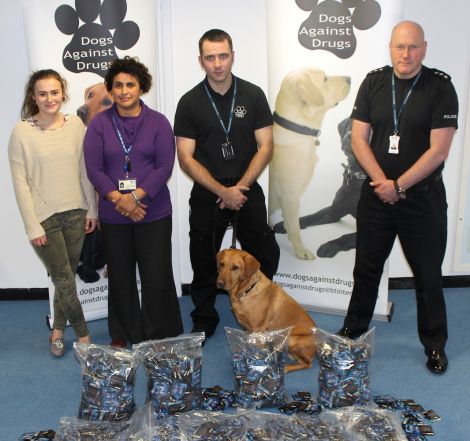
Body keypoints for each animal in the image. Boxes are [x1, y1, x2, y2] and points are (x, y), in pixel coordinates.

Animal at [268, 67, 348, 260]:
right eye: (324, 79)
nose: (349, 78)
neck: (296, 129)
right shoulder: (290, 195)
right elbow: (295, 227)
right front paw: (300, 250)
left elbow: (291, 222)